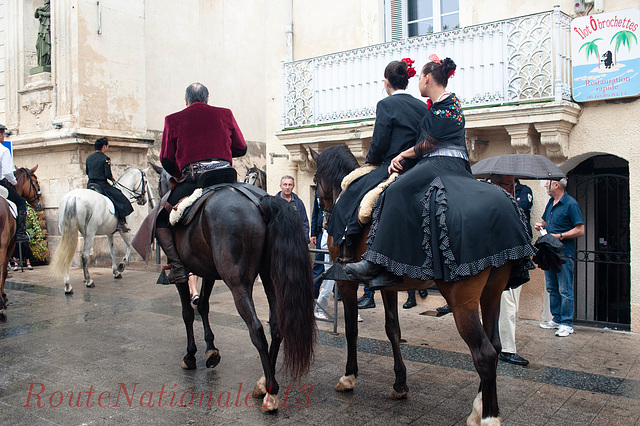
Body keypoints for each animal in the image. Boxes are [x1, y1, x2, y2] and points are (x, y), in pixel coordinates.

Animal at [154, 167, 316, 412]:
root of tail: (261, 201)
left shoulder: (183, 274)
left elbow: (187, 313)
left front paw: (191, 355)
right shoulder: (208, 271)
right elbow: (203, 305)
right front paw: (210, 350)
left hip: (238, 283)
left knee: (256, 328)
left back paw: (270, 391)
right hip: (270, 278)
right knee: (276, 326)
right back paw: (263, 383)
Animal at [312, 146, 512, 422]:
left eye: (315, 179)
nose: (324, 221)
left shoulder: (346, 284)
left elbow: (351, 330)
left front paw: (349, 376)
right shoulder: (387, 283)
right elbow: (393, 329)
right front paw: (400, 384)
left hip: (462, 300)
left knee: (484, 353)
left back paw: (487, 417)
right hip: (492, 293)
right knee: (495, 344)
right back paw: (480, 405)